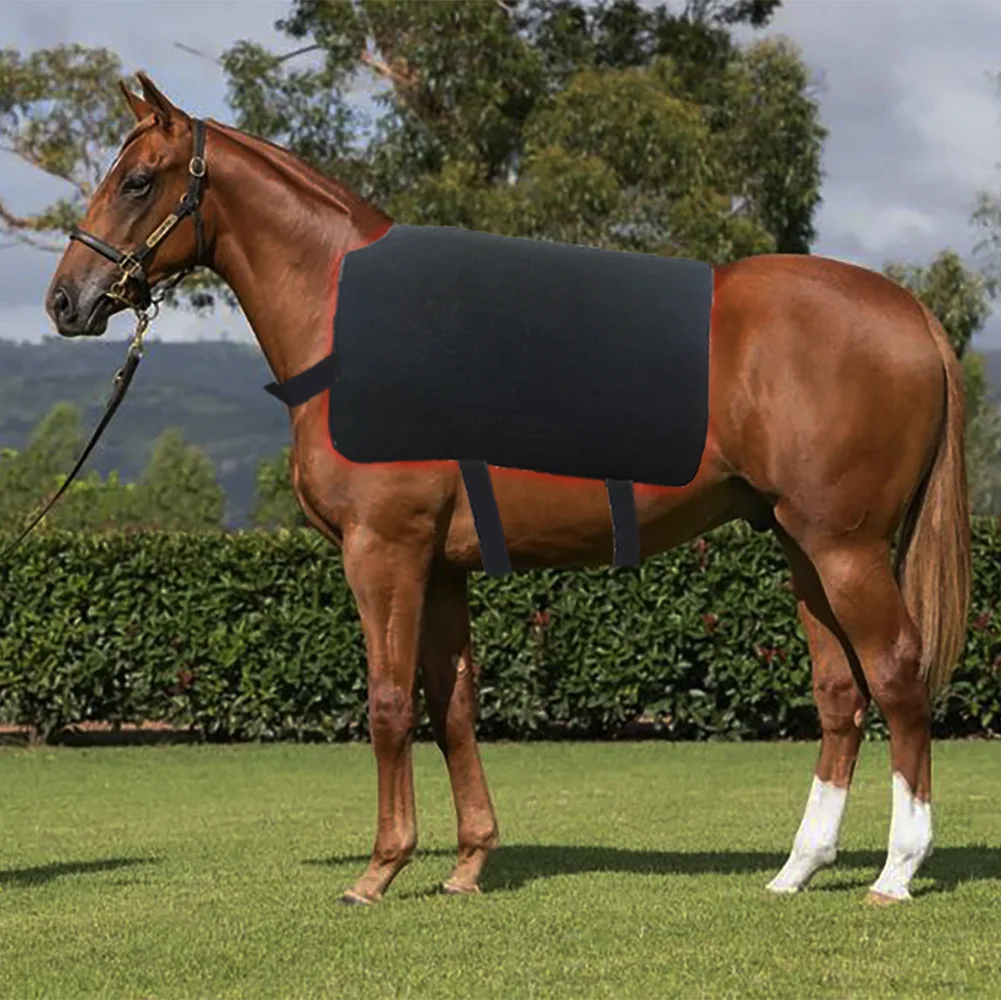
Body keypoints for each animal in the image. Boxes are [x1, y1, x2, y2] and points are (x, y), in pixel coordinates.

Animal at [45, 73, 970, 907]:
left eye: (137, 180)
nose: (64, 300)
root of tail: (910, 312)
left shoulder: (383, 552)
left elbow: (388, 704)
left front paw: (379, 872)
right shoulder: (440, 567)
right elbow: (453, 707)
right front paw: (465, 866)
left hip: (845, 548)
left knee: (896, 675)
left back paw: (895, 873)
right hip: (800, 545)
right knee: (840, 692)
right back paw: (796, 869)